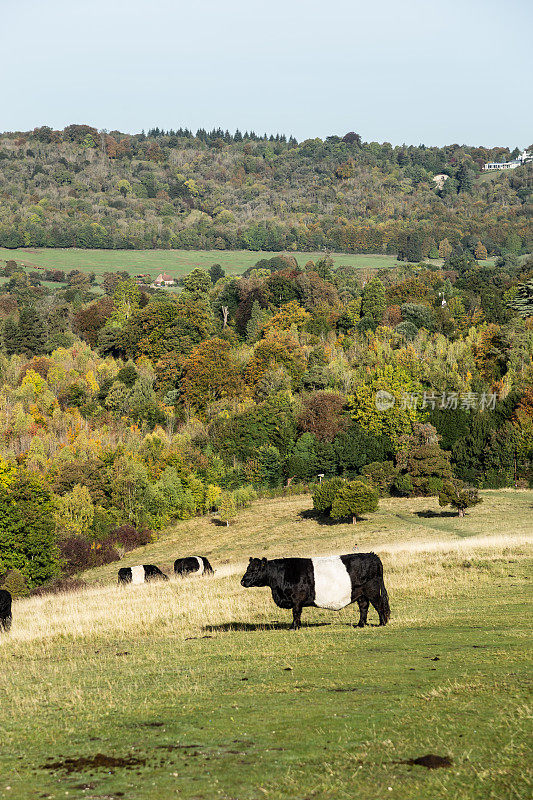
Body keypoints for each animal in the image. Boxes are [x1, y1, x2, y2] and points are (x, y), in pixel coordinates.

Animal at [240, 552, 386, 628]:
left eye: (255, 570)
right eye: (248, 568)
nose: (242, 581)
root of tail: (372, 555)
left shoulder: (296, 599)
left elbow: (296, 612)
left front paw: (294, 627)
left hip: (372, 590)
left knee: (379, 605)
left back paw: (382, 623)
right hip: (360, 593)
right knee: (364, 607)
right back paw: (360, 624)